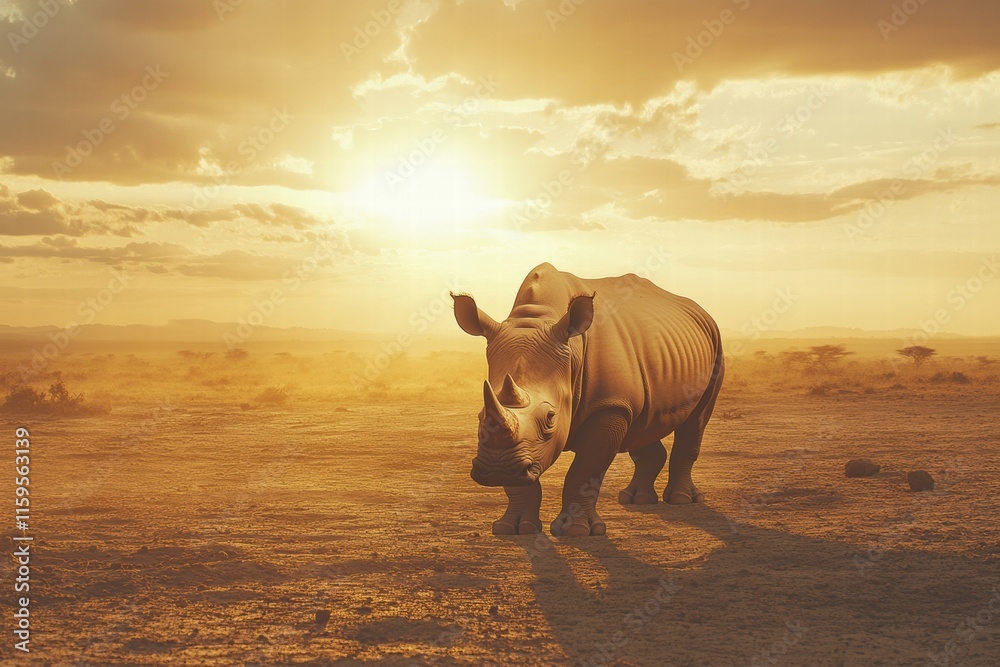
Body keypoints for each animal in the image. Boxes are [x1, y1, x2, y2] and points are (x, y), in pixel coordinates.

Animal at [451, 263, 724, 537]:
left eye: (550, 417)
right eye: (480, 416)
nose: (497, 469)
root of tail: (700, 311)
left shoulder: (609, 406)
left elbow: (584, 471)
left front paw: (576, 531)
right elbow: (522, 481)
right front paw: (514, 528)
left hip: (716, 342)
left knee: (696, 421)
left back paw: (681, 499)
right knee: (643, 422)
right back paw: (636, 499)